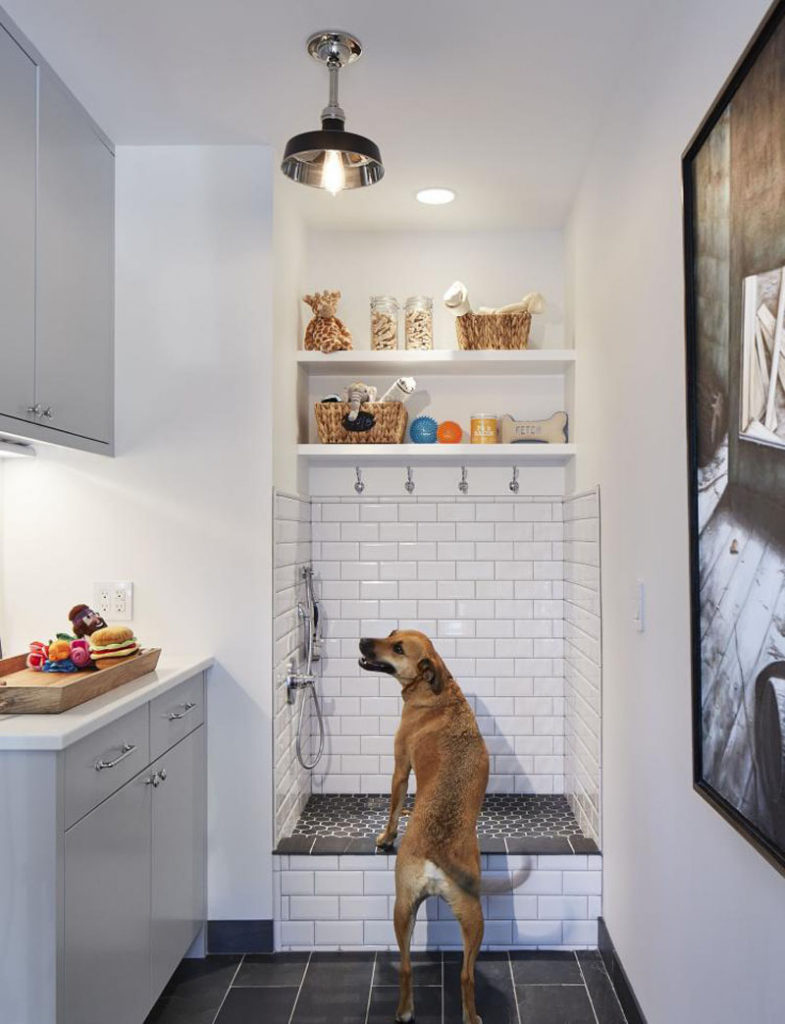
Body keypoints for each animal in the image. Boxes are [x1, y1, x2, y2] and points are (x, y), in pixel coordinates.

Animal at [360, 630, 487, 1024]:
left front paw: (386, 838)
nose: (362, 640)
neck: (437, 694)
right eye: (391, 633)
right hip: (462, 916)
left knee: (408, 967)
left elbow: (393, 808)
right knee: (461, 974)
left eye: (398, 648)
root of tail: (437, 851)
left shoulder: (401, 766)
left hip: (405, 908)